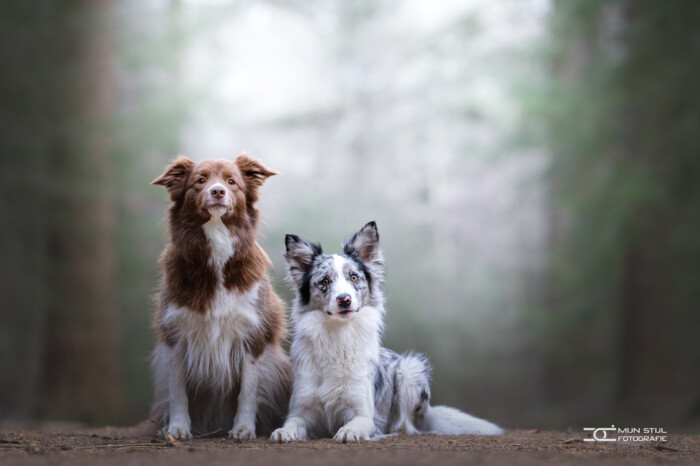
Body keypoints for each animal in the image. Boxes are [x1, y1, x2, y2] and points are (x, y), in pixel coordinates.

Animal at [149, 155, 292, 438]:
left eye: (231, 181)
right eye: (200, 180)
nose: (217, 191)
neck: (216, 250)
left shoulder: (253, 335)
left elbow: (248, 390)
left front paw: (243, 429)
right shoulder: (175, 335)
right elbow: (177, 390)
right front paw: (178, 428)